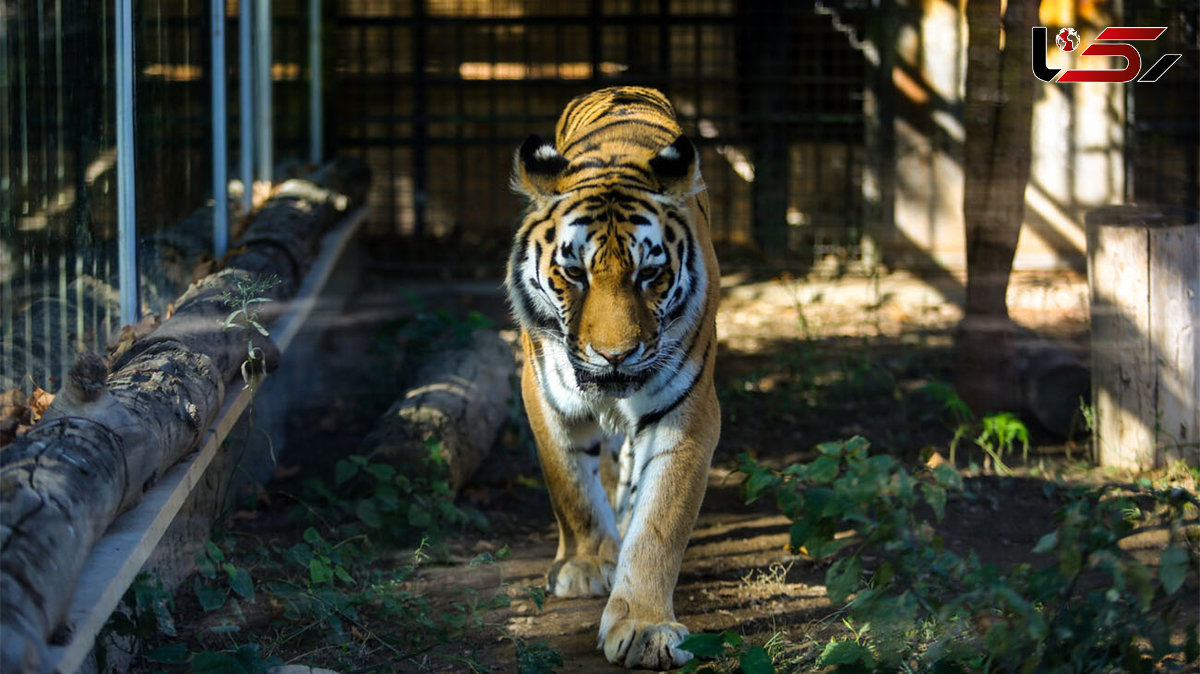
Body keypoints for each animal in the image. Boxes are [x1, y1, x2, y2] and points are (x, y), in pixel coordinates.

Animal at [504, 85, 720, 666]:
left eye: (650, 274)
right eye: (573, 273)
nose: (615, 355)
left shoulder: (686, 412)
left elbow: (660, 520)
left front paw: (645, 626)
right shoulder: (544, 394)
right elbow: (571, 486)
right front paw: (585, 565)